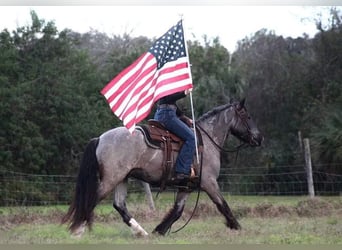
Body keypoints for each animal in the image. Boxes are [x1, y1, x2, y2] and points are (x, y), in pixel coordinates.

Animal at [62, 98, 264, 237]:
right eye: (247, 116)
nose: (259, 138)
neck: (206, 140)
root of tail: (100, 138)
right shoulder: (209, 182)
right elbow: (223, 204)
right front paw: (236, 226)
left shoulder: (187, 186)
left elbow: (177, 211)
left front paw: (159, 230)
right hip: (111, 179)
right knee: (92, 199)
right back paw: (78, 230)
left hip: (122, 178)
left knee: (119, 205)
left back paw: (141, 232)